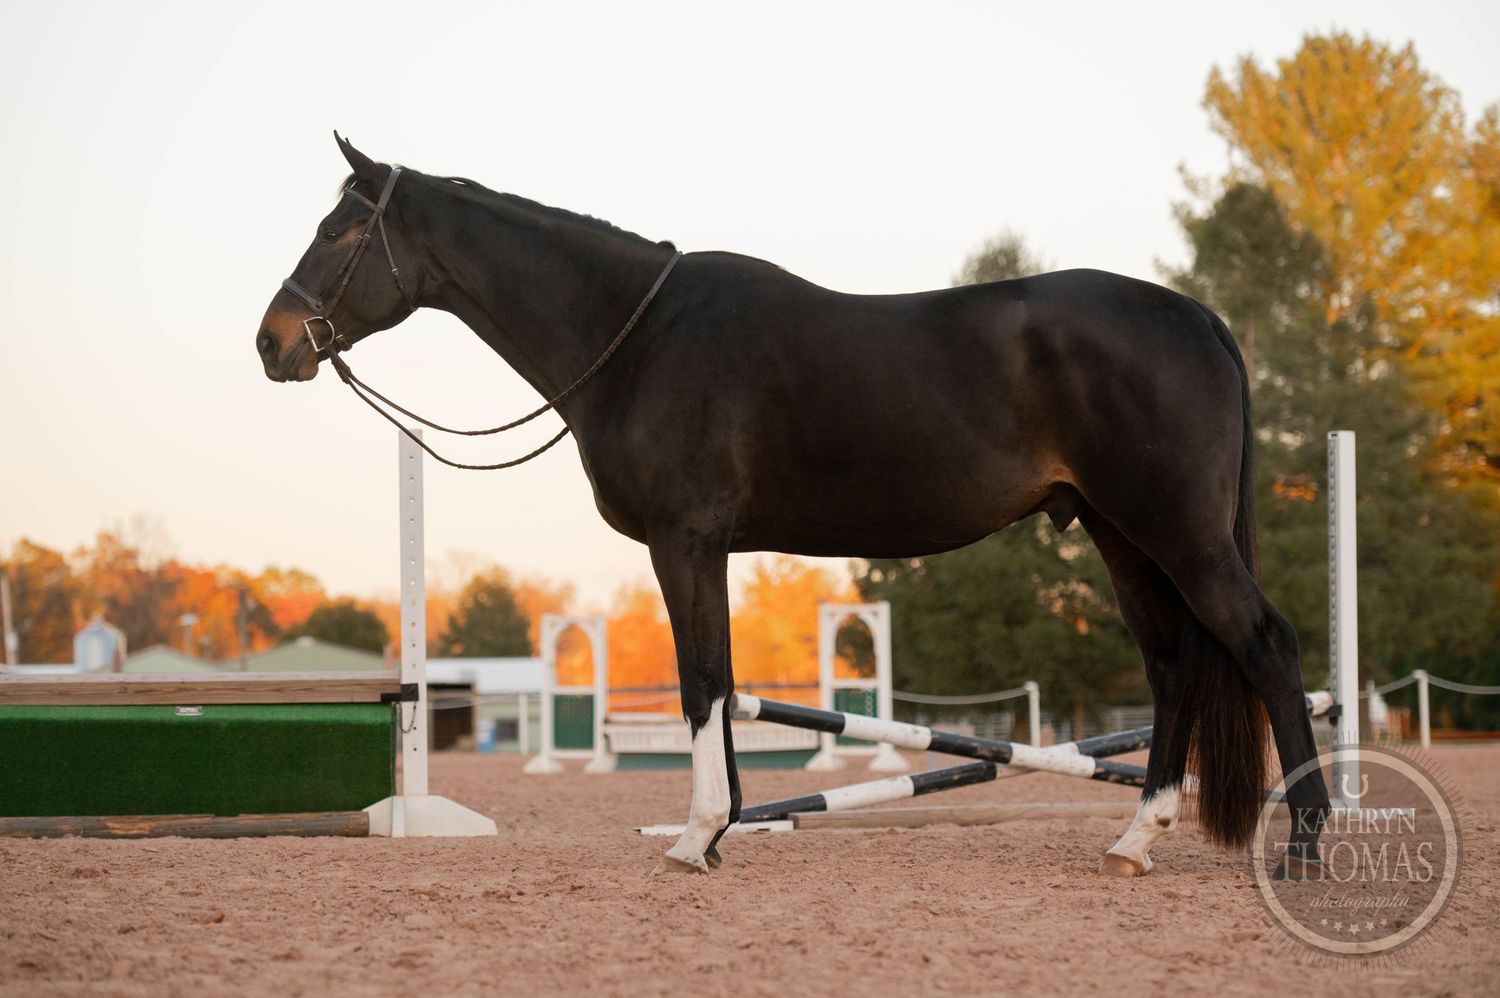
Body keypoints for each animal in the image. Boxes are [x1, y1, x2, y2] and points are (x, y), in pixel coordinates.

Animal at [256, 134, 1329, 878]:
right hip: (1122, 536)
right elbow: (724, 681)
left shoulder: (685, 542)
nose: (274, 341)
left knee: (1264, 647)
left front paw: (695, 837)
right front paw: (722, 827)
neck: (636, 337)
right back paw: (1134, 840)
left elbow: (700, 681)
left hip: (1179, 536)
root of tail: (1194, 316)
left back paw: (1309, 844)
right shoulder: (711, 549)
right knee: (1174, 668)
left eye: (341, 228)